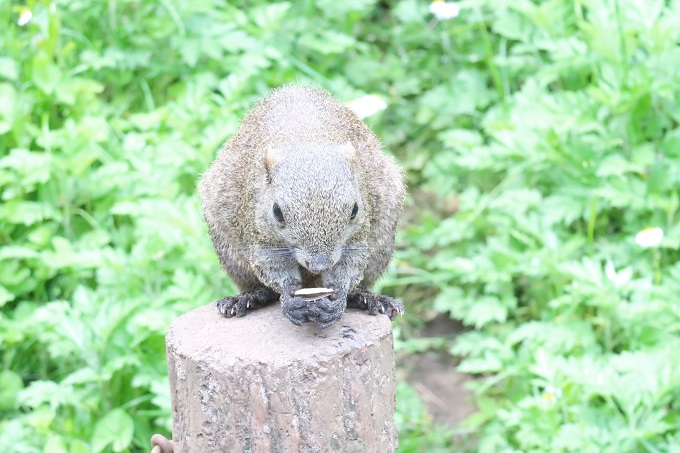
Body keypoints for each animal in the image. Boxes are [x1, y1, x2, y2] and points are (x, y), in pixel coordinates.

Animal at [199, 85, 406, 326]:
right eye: (277, 212)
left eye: (354, 210)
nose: (320, 264)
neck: (305, 140)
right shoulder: (259, 231)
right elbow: (270, 265)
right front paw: (289, 296)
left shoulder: (358, 235)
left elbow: (351, 264)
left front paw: (339, 296)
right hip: (231, 252)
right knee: (260, 287)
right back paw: (248, 298)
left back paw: (366, 298)